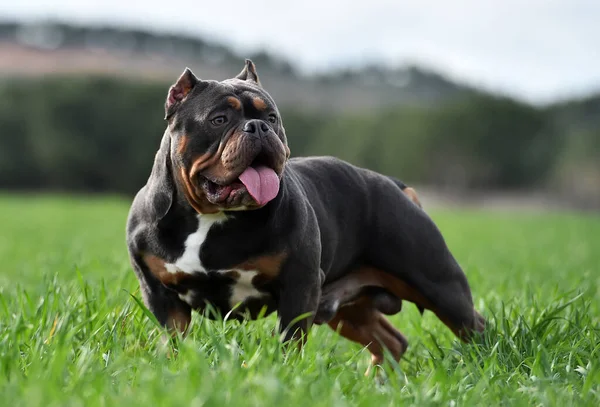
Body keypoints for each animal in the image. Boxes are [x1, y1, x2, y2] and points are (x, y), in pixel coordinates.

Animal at [124, 59, 486, 370]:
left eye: (272, 117)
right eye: (218, 119)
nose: (258, 127)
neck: (211, 217)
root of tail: (395, 185)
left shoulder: (299, 287)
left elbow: (290, 341)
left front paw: (285, 372)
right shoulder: (161, 295)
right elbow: (174, 338)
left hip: (437, 283)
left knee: (473, 325)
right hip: (350, 309)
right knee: (390, 340)